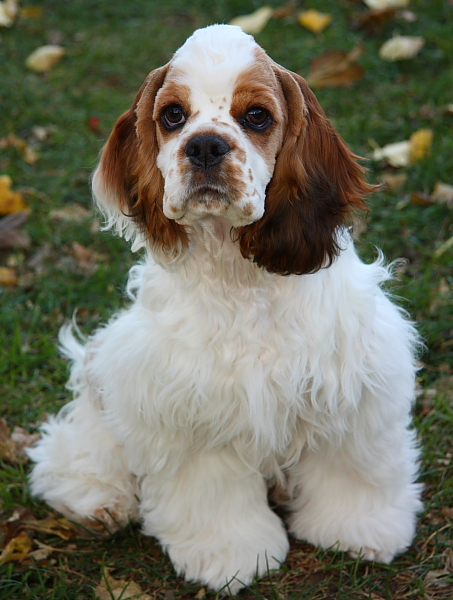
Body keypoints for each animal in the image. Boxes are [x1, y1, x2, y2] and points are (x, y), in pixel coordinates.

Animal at [29, 24, 420, 596]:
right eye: (173, 115)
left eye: (256, 115)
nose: (206, 145)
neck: (241, 280)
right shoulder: (191, 411)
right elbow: (212, 497)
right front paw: (230, 557)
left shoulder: (353, 388)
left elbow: (353, 469)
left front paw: (360, 529)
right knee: (74, 446)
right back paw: (99, 500)